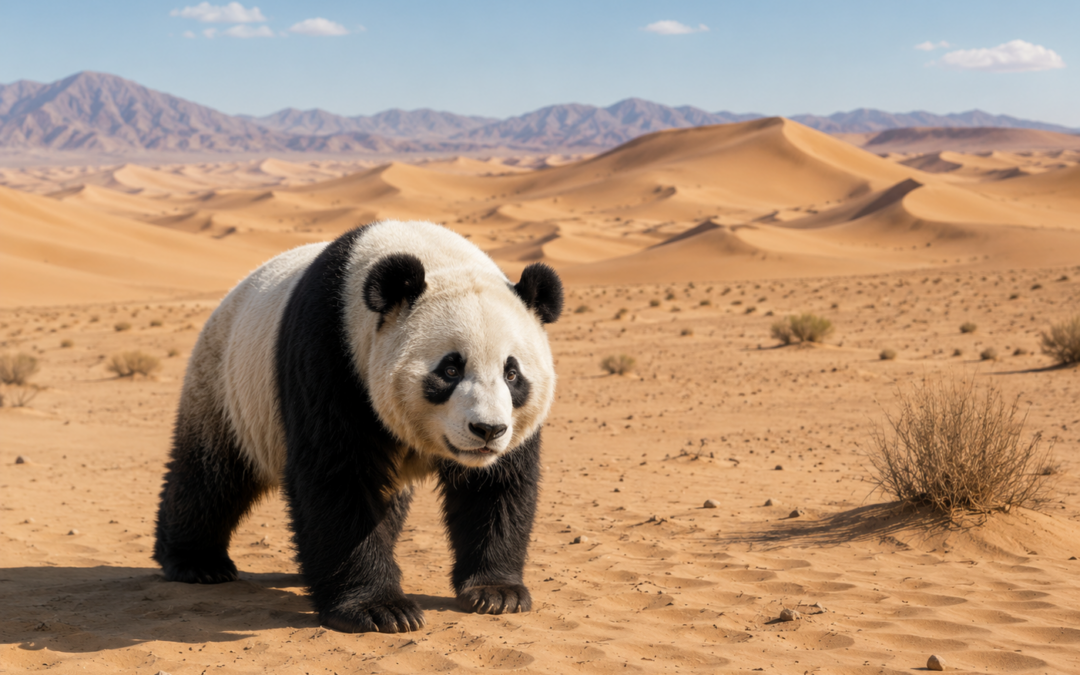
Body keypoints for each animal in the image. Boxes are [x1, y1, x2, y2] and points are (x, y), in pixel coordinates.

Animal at [153, 220, 563, 634]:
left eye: (512, 374)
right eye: (450, 369)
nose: (487, 430)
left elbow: (496, 485)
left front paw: (496, 592)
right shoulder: (331, 357)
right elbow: (337, 476)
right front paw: (379, 609)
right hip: (225, 388)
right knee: (211, 476)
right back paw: (196, 563)